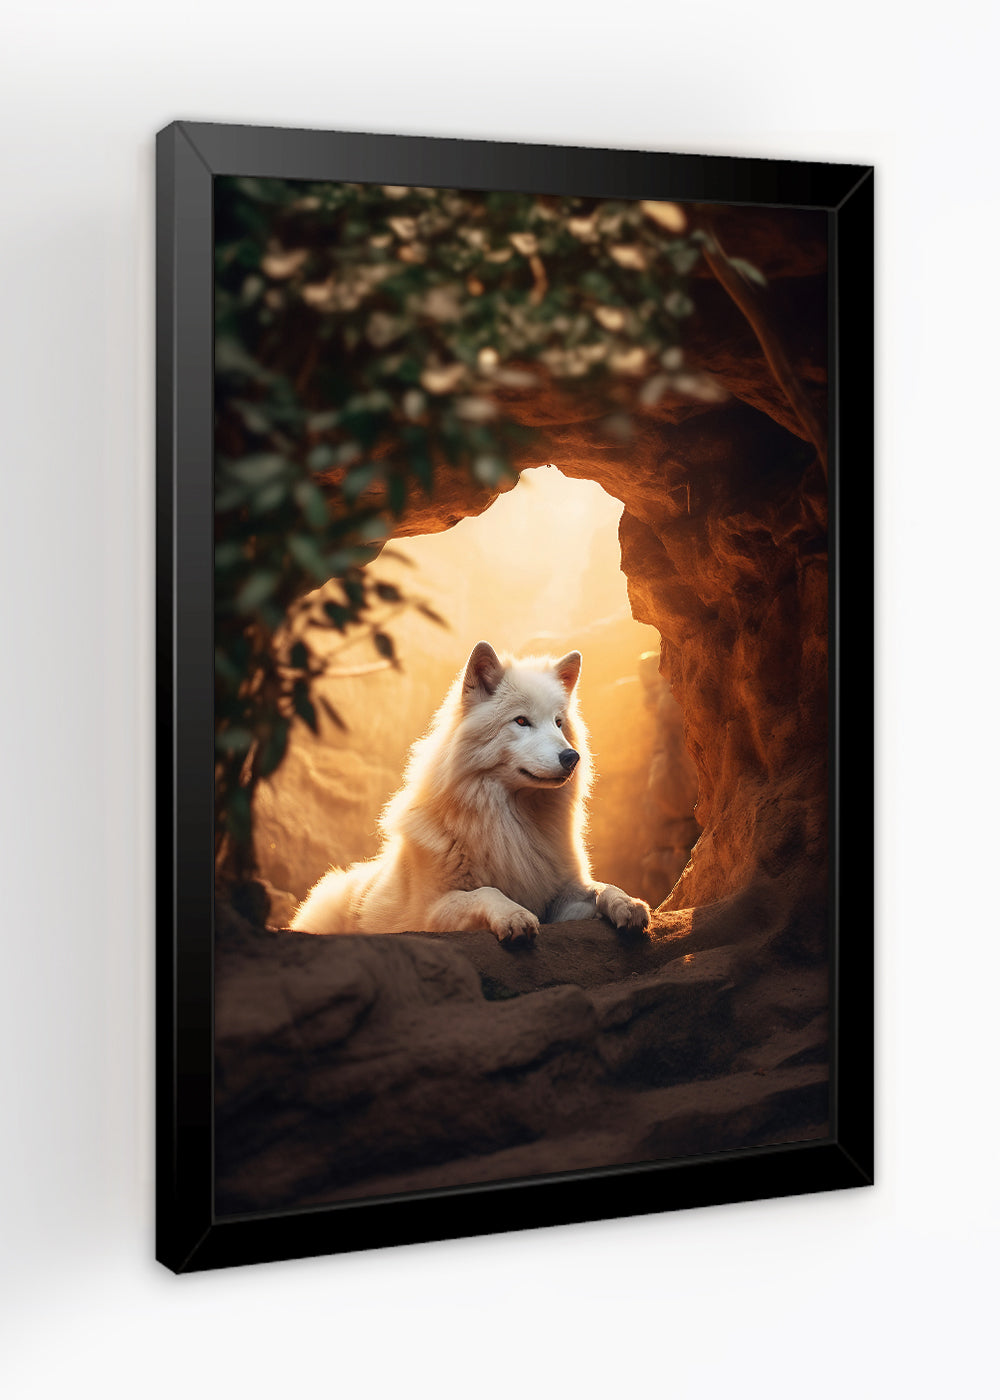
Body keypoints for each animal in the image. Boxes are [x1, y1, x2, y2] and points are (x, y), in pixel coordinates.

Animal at [290, 641, 651, 943]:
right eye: (521, 721)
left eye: (559, 723)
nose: (571, 757)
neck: (512, 825)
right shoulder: (431, 912)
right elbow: (487, 892)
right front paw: (514, 915)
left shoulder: (561, 898)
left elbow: (601, 887)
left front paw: (629, 903)